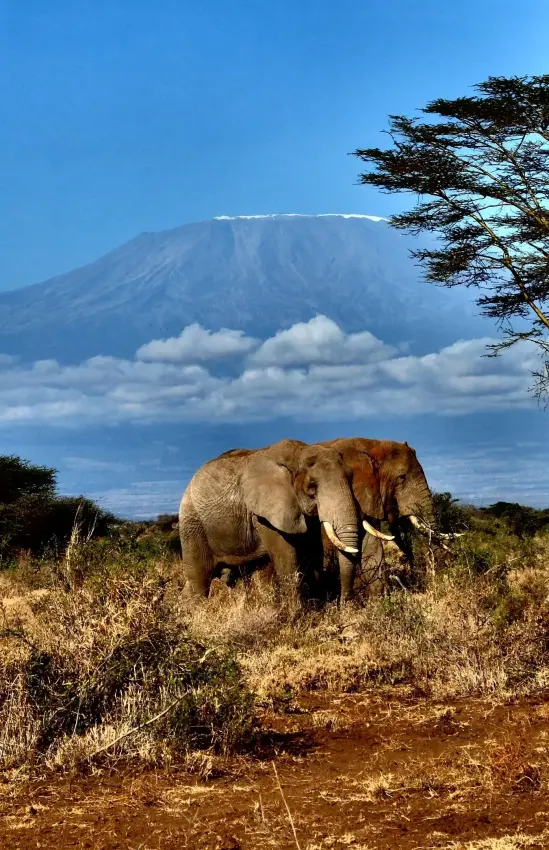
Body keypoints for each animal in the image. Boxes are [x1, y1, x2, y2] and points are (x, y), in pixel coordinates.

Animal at [178, 439, 363, 599]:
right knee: (199, 578)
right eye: (312, 487)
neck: (298, 453)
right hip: (192, 525)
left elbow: (313, 552)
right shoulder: (265, 515)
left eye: (351, 477)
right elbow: (287, 561)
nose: (344, 603)